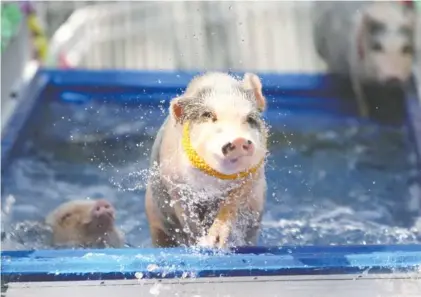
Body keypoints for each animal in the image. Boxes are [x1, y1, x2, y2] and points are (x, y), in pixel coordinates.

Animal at [144, 71, 270, 247]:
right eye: (208, 115)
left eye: (250, 118)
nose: (239, 139)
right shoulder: (174, 181)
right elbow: (187, 215)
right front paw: (202, 242)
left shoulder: (253, 175)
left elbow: (231, 204)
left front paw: (216, 241)